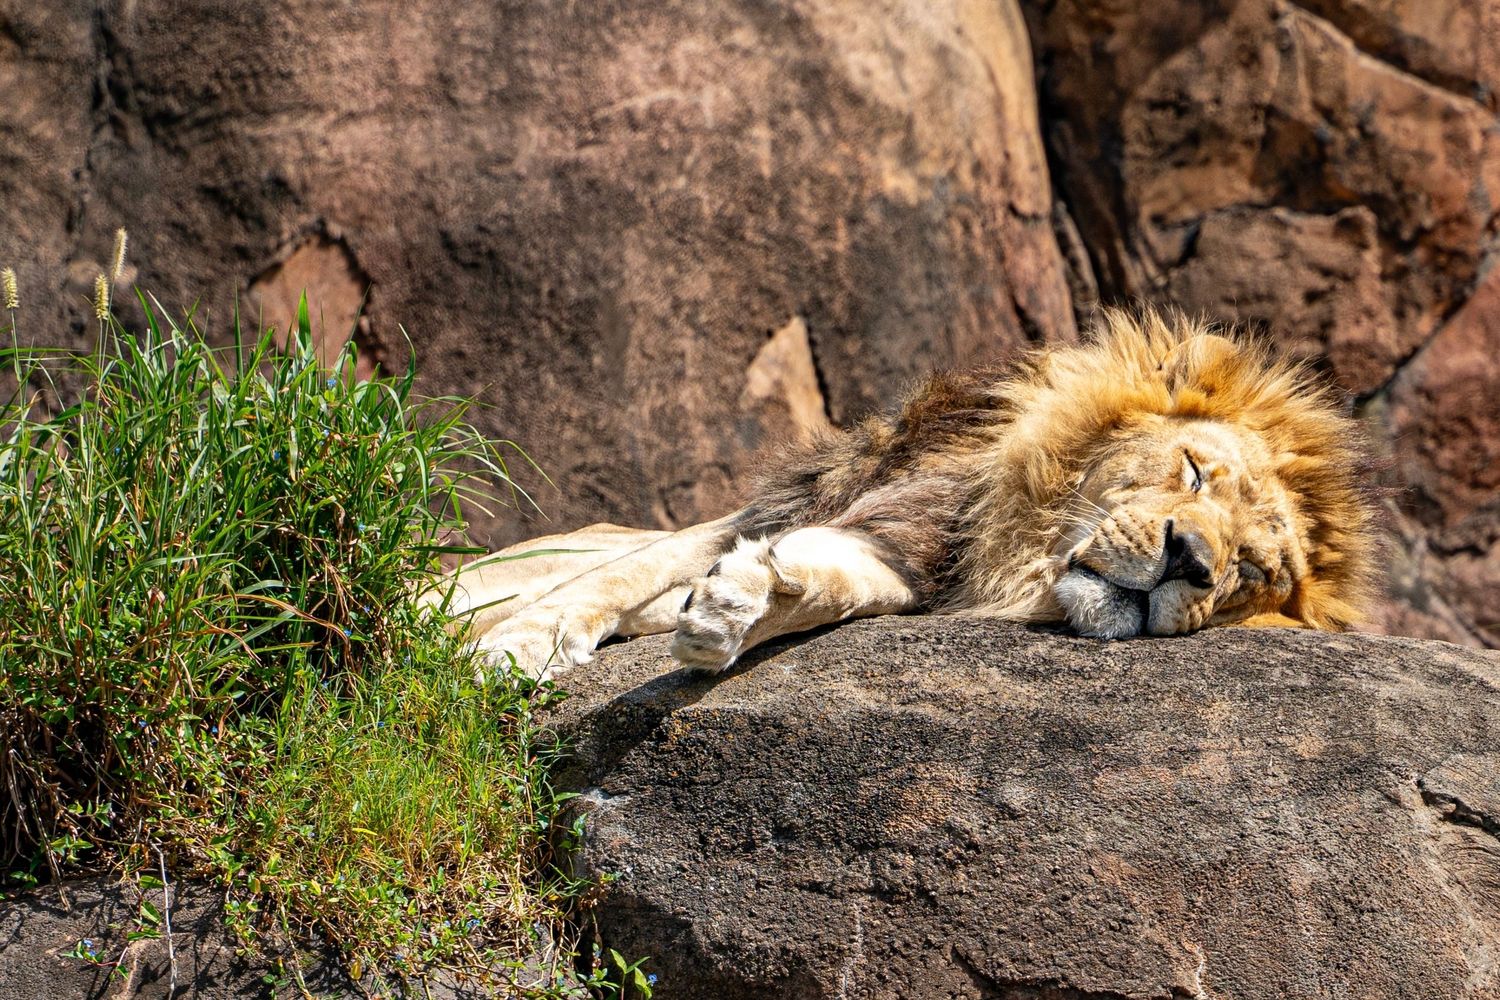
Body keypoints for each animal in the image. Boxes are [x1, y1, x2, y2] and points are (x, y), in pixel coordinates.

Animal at [438, 309, 1377, 679]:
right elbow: (611, 580)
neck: (1010, 547)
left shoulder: (901, 562)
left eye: (1251, 572)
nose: (1189, 559)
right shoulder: (802, 503)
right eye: (1191, 469)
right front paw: (513, 649)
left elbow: (829, 588)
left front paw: (745, 604)